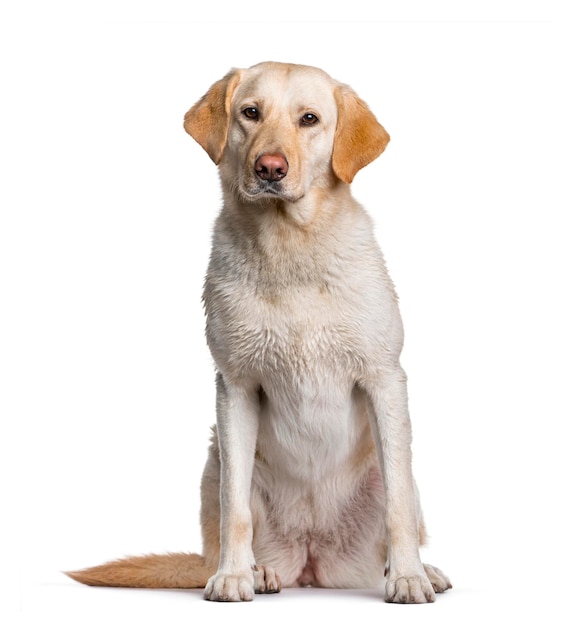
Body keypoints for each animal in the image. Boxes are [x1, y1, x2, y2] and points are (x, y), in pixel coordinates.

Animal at [66, 62, 454, 600]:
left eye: (309, 119)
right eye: (250, 113)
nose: (270, 167)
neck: (289, 248)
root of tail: (311, 564)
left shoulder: (384, 380)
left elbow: (397, 506)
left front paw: (408, 577)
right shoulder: (236, 388)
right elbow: (235, 509)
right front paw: (234, 575)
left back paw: (418, 570)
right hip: (215, 461)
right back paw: (257, 571)